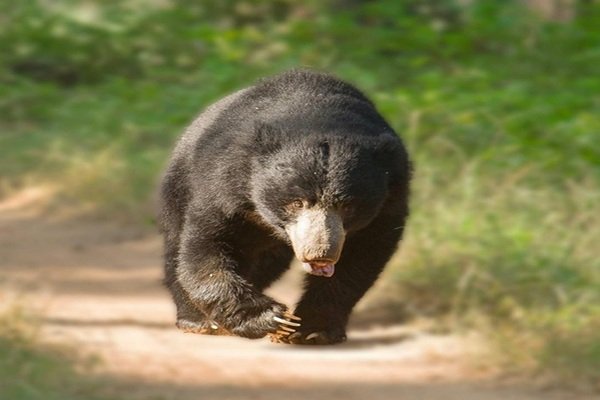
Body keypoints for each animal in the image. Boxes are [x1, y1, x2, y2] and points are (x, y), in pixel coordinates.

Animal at [158, 69, 412, 344]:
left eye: (347, 206)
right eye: (297, 202)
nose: (320, 253)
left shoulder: (390, 199)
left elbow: (361, 258)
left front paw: (311, 329)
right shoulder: (225, 182)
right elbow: (206, 246)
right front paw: (271, 318)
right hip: (179, 184)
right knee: (176, 247)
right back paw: (198, 321)